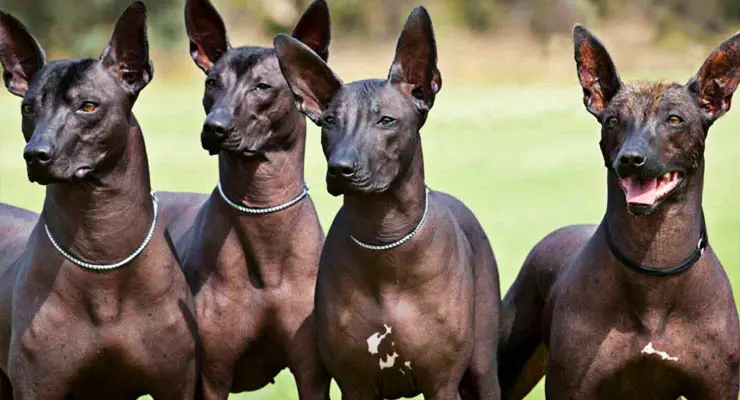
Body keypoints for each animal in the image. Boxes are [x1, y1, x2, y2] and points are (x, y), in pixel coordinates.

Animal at [0, 2, 198, 396]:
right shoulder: (36, 387)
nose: (35, 155)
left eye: (88, 106)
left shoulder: (177, 385)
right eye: (28, 109)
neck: (101, 249)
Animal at [274, 7, 500, 400]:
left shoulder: (442, 384)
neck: (385, 242)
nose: (341, 169)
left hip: (483, 367)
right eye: (329, 122)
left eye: (386, 120)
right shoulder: (355, 385)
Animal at [498, 26, 740, 398]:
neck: (654, 272)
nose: (631, 158)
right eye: (612, 121)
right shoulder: (570, 386)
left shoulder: (719, 387)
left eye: (674, 120)